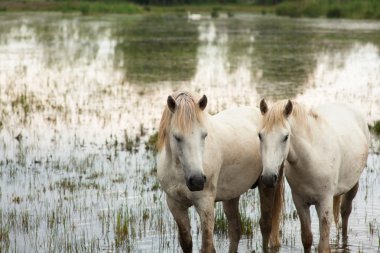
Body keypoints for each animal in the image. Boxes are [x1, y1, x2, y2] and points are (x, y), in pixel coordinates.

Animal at [157, 91, 284, 253]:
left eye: (204, 135)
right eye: (177, 137)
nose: (197, 181)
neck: (179, 172)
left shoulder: (205, 204)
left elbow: (207, 246)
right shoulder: (175, 205)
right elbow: (186, 242)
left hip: (267, 185)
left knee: (266, 225)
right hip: (232, 195)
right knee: (235, 229)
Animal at [256, 100, 370, 253]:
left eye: (285, 137)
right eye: (260, 136)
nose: (268, 178)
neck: (312, 157)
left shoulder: (324, 202)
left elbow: (323, 246)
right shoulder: (300, 202)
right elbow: (307, 239)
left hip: (353, 185)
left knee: (345, 213)